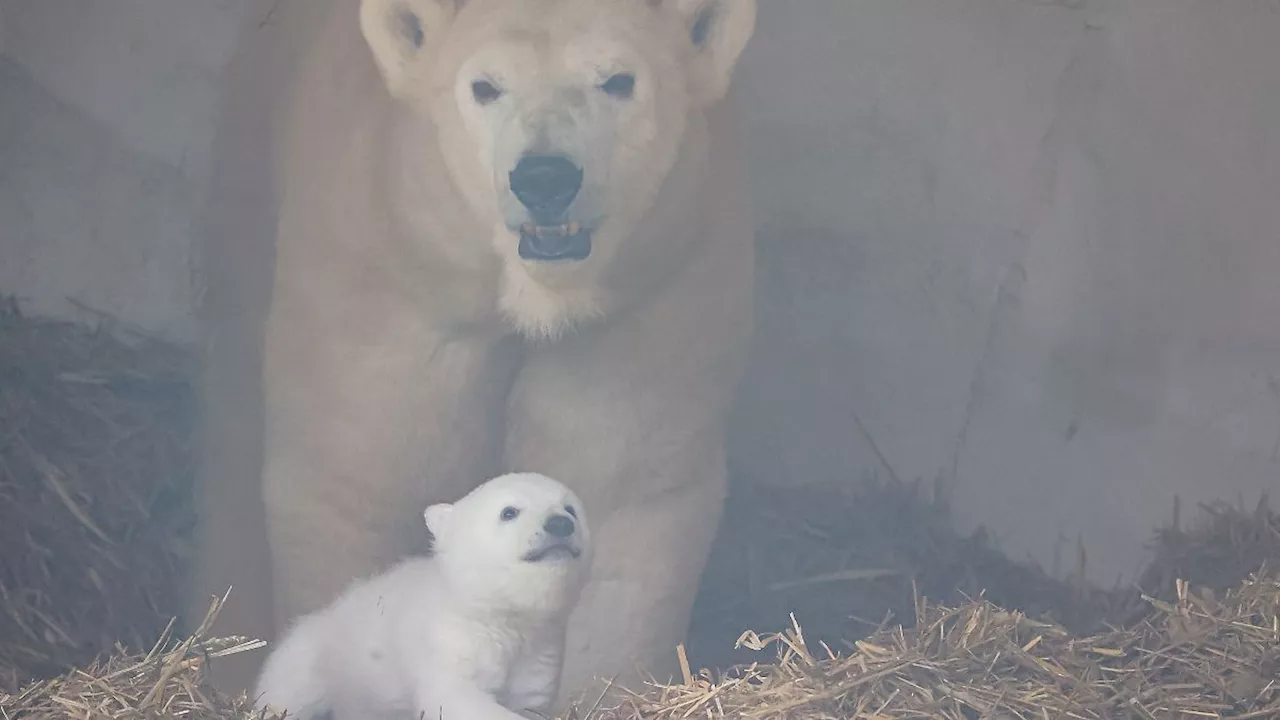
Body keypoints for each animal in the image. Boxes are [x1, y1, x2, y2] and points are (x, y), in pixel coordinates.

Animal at [250, 471, 588, 717]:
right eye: (509, 511)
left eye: (570, 508)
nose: (560, 524)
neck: (499, 616)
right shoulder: (451, 641)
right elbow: (456, 698)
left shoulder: (539, 653)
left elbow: (529, 699)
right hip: (313, 657)